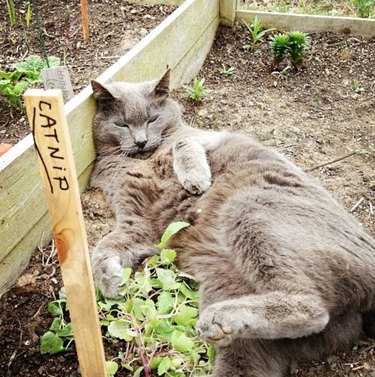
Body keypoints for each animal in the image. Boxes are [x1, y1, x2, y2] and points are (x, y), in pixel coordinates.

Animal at [90, 71, 375, 376]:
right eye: (122, 124)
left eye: (152, 118)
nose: (141, 141)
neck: (146, 159)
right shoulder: (138, 223)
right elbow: (101, 248)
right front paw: (110, 281)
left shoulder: (206, 136)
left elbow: (182, 143)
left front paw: (195, 179)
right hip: (225, 279)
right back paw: (222, 326)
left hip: (249, 208)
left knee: (314, 308)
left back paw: (217, 318)